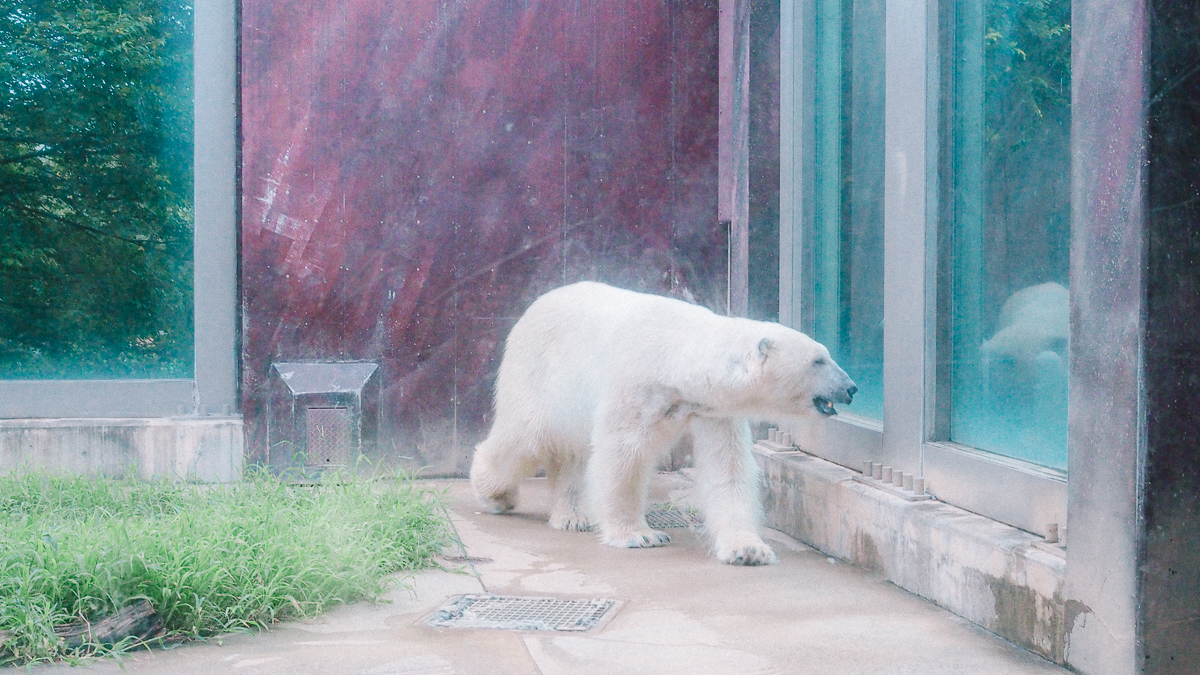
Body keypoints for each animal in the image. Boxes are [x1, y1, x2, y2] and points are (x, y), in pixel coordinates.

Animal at [465, 278, 854, 562]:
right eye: (818, 360)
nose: (851, 387)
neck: (679, 357)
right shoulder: (636, 386)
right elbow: (622, 455)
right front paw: (639, 535)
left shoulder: (714, 410)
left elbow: (728, 467)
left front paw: (748, 549)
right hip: (537, 373)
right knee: (525, 435)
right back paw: (495, 493)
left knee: (572, 451)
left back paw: (574, 516)